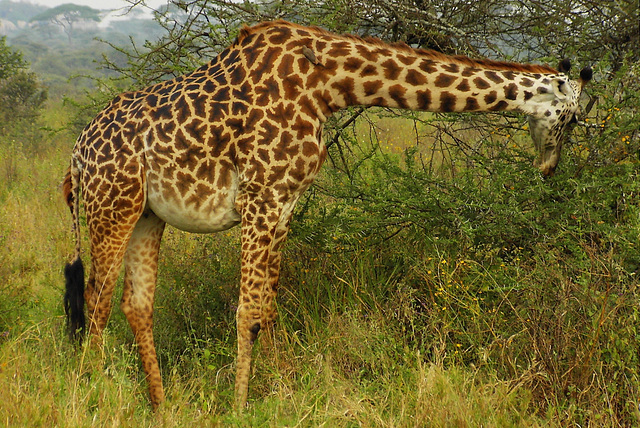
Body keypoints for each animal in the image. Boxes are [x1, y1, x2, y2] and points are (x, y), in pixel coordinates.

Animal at [62, 20, 592, 412]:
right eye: (569, 118)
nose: (549, 168)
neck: (329, 83)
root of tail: (76, 157)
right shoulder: (260, 195)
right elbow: (248, 310)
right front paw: (239, 407)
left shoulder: (284, 202)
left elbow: (267, 307)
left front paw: (281, 392)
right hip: (111, 206)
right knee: (96, 299)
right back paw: (91, 396)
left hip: (147, 214)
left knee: (135, 304)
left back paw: (160, 404)